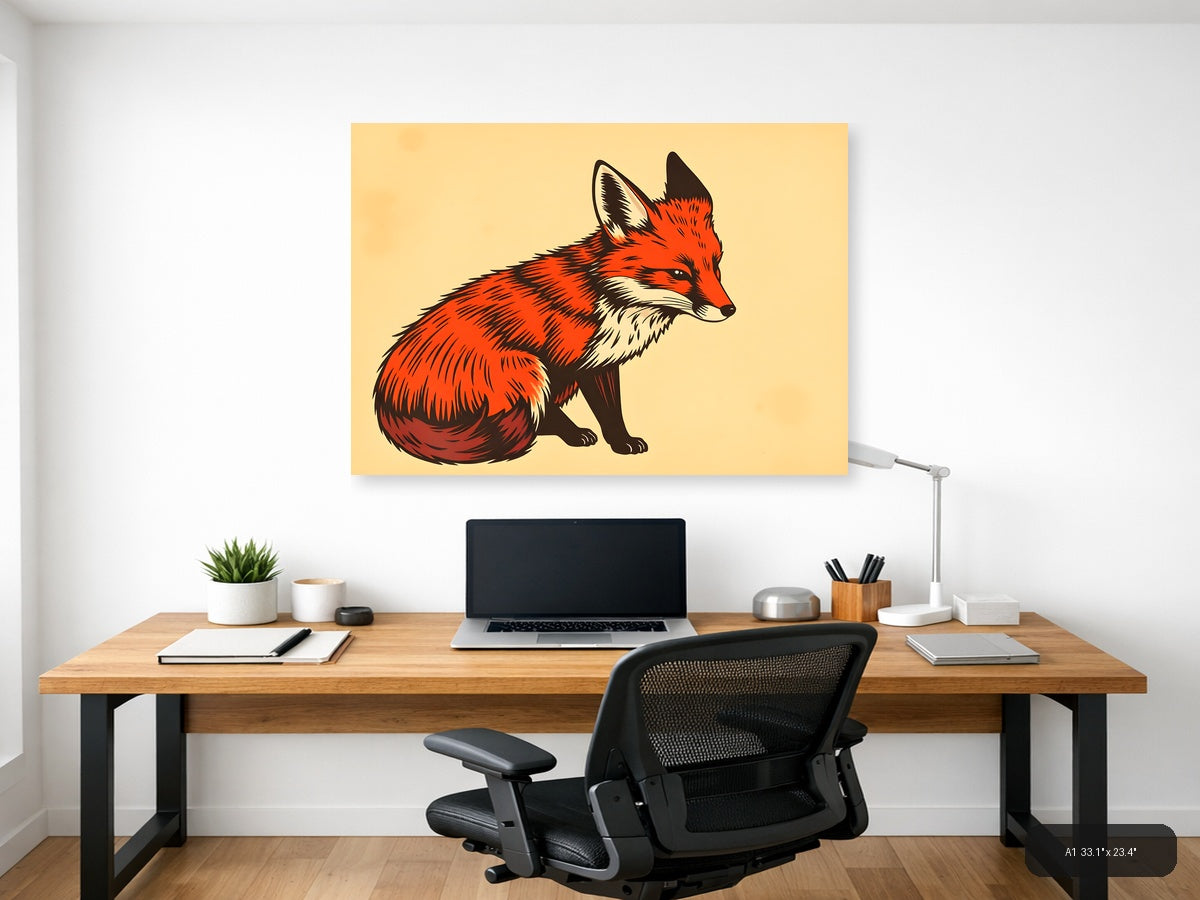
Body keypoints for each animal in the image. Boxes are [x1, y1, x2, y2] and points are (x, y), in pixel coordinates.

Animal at [373, 151, 736, 465]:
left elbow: (611, 410)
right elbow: (573, 412)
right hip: (525, 367)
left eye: (716, 266)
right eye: (679, 274)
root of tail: (385, 399)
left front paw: (619, 440)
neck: (608, 297)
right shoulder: (564, 362)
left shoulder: (600, 362)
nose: (729, 310)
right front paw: (606, 441)